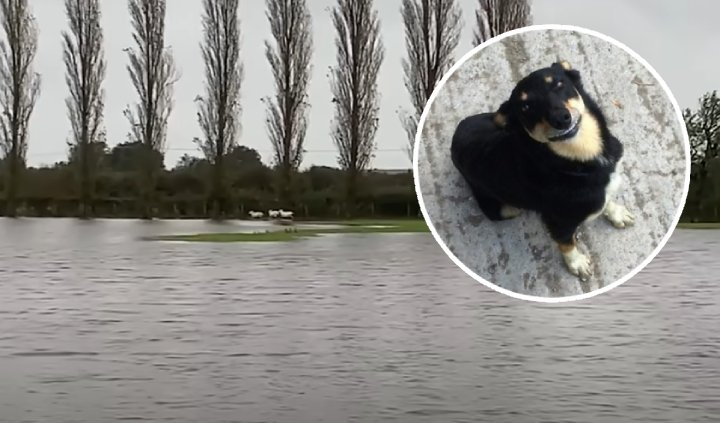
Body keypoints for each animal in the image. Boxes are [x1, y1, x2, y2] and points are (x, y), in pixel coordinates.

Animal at [452, 59, 632, 282]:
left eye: (558, 84)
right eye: (526, 106)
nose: (561, 118)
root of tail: (455, 137)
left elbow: (607, 200)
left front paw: (616, 212)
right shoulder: (558, 222)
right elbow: (567, 244)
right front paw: (577, 263)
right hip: (505, 208)